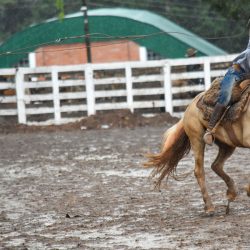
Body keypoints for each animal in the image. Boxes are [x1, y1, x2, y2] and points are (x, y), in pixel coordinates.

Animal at [145, 78, 250, 215]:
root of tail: (192, 104)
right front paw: (248, 189)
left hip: (227, 145)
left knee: (216, 165)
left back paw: (231, 193)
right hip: (197, 139)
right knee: (199, 171)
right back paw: (210, 207)